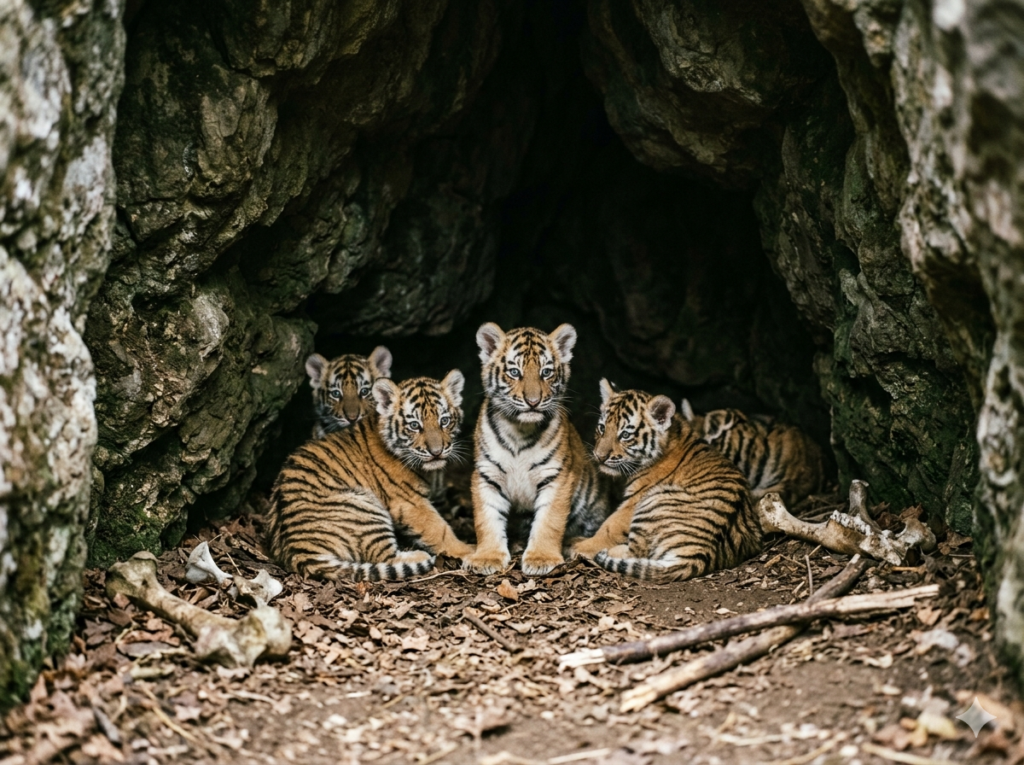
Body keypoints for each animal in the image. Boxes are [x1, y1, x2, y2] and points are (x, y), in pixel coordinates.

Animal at [266, 370, 474, 582]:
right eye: (415, 425)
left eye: (444, 421)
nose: (437, 452)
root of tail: (298, 551)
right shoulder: (409, 502)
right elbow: (439, 530)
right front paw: (468, 550)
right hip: (365, 507)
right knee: (385, 558)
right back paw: (419, 556)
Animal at [463, 322, 611, 576]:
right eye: (514, 372)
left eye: (546, 372)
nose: (533, 401)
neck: (519, 431)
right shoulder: (486, 475)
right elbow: (487, 518)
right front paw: (487, 557)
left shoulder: (556, 477)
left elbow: (549, 521)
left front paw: (542, 558)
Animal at [570, 381, 762, 581]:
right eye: (602, 428)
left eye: (625, 435)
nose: (599, 457)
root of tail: (700, 555)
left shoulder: (633, 502)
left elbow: (610, 526)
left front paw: (581, 547)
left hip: (655, 499)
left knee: (636, 552)